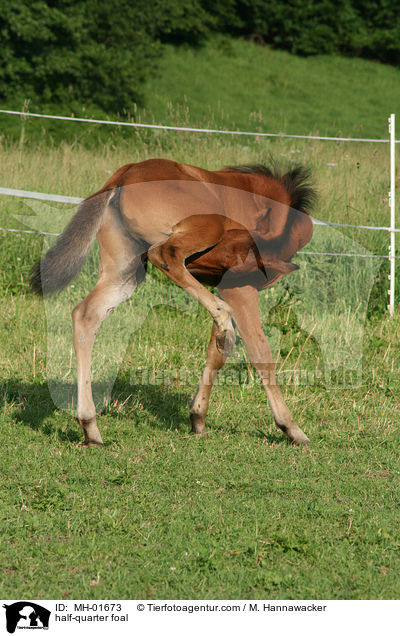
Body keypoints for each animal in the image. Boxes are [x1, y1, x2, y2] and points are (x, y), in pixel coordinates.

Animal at [32, 159, 316, 448]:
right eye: (237, 249)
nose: (212, 270)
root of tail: (126, 172)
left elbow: (217, 352)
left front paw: (198, 418)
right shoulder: (239, 287)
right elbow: (260, 351)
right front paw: (291, 428)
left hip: (125, 270)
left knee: (86, 315)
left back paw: (90, 427)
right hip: (200, 230)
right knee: (165, 254)